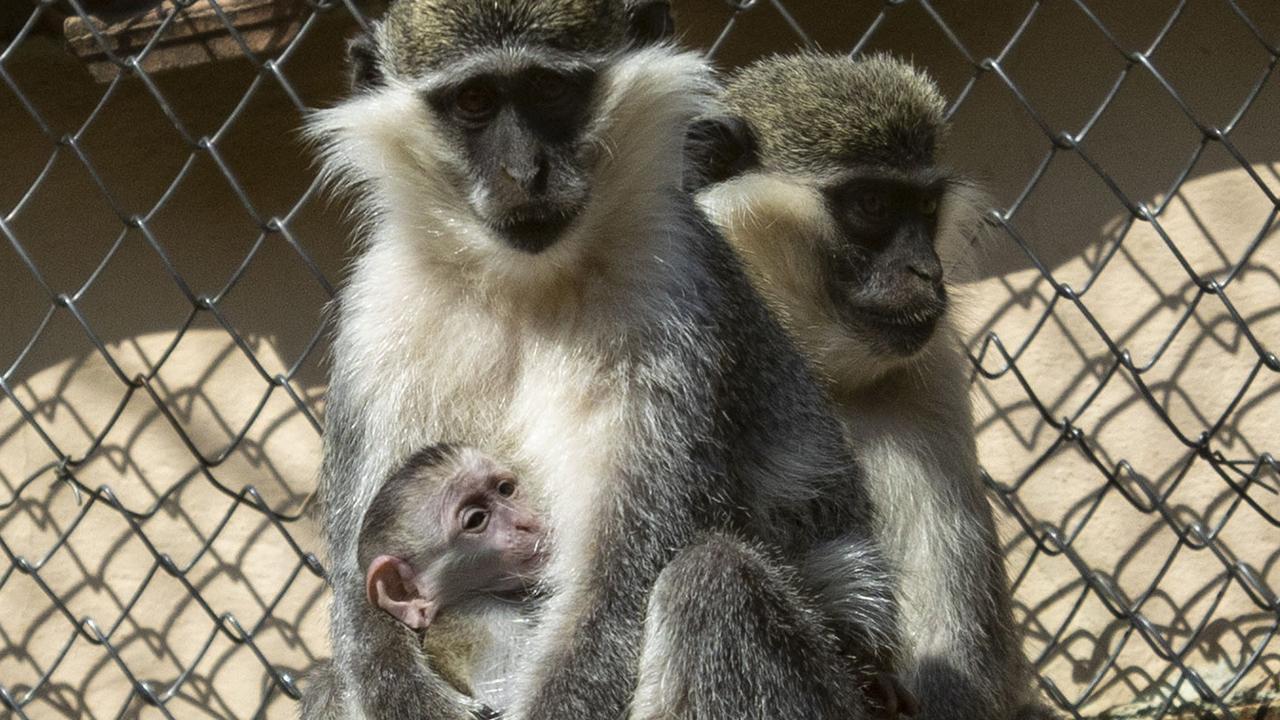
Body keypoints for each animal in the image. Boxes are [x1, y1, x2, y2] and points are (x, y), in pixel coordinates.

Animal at [309, 2, 906, 712]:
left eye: (548, 90)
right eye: (474, 101)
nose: (524, 173)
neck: (521, 283)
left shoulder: (673, 290)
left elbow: (617, 582)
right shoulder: (374, 314)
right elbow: (364, 606)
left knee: (712, 577)